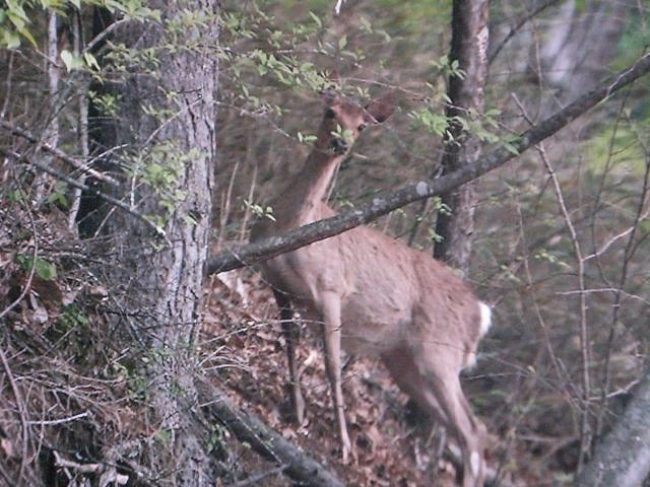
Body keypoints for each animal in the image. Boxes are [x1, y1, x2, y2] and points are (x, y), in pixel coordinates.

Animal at [249, 88, 492, 487]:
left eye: (362, 125)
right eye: (330, 111)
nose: (340, 143)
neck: (292, 224)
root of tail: (480, 313)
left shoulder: (332, 289)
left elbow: (332, 367)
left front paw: (344, 446)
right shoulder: (277, 286)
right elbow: (290, 347)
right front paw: (297, 413)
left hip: (440, 353)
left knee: (472, 431)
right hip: (404, 361)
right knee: (465, 429)